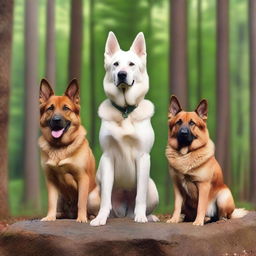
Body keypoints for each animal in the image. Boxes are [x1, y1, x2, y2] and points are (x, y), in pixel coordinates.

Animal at [38, 79, 99, 223]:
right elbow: (51, 202)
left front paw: (81, 218)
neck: (60, 146)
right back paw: (59, 215)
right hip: (61, 197)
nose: (56, 120)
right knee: (62, 210)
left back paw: (90, 216)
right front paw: (50, 217)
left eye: (66, 108)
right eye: (50, 108)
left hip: (93, 197)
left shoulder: (83, 178)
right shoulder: (51, 180)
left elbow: (81, 201)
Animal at [90, 31, 158, 226]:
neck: (125, 111)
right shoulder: (107, 157)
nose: (121, 74)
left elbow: (140, 196)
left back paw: (149, 216)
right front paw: (100, 218)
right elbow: (105, 198)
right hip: (93, 193)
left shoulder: (143, 157)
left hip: (153, 188)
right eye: (115, 64)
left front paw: (141, 216)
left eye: (131, 64)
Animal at [165, 96, 247, 226]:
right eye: (178, 122)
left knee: (221, 215)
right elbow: (177, 206)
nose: (183, 133)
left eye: (192, 123)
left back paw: (214, 219)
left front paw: (198, 221)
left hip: (223, 197)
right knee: (189, 214)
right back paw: (188, 218)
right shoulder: (177, 188)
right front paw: (174, 219)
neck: (185, 154)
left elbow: (201, 206)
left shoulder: (203, 186)